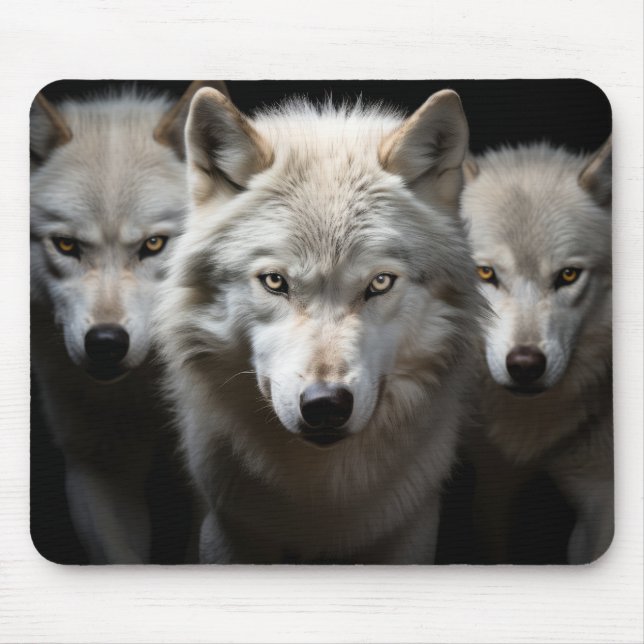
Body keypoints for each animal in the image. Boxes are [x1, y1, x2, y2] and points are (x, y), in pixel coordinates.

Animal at [155, 87, 485, 564]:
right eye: (275, 281)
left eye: (379, 283)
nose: (325, 404)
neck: (322, 501)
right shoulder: (229, 530)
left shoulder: (411, 531)